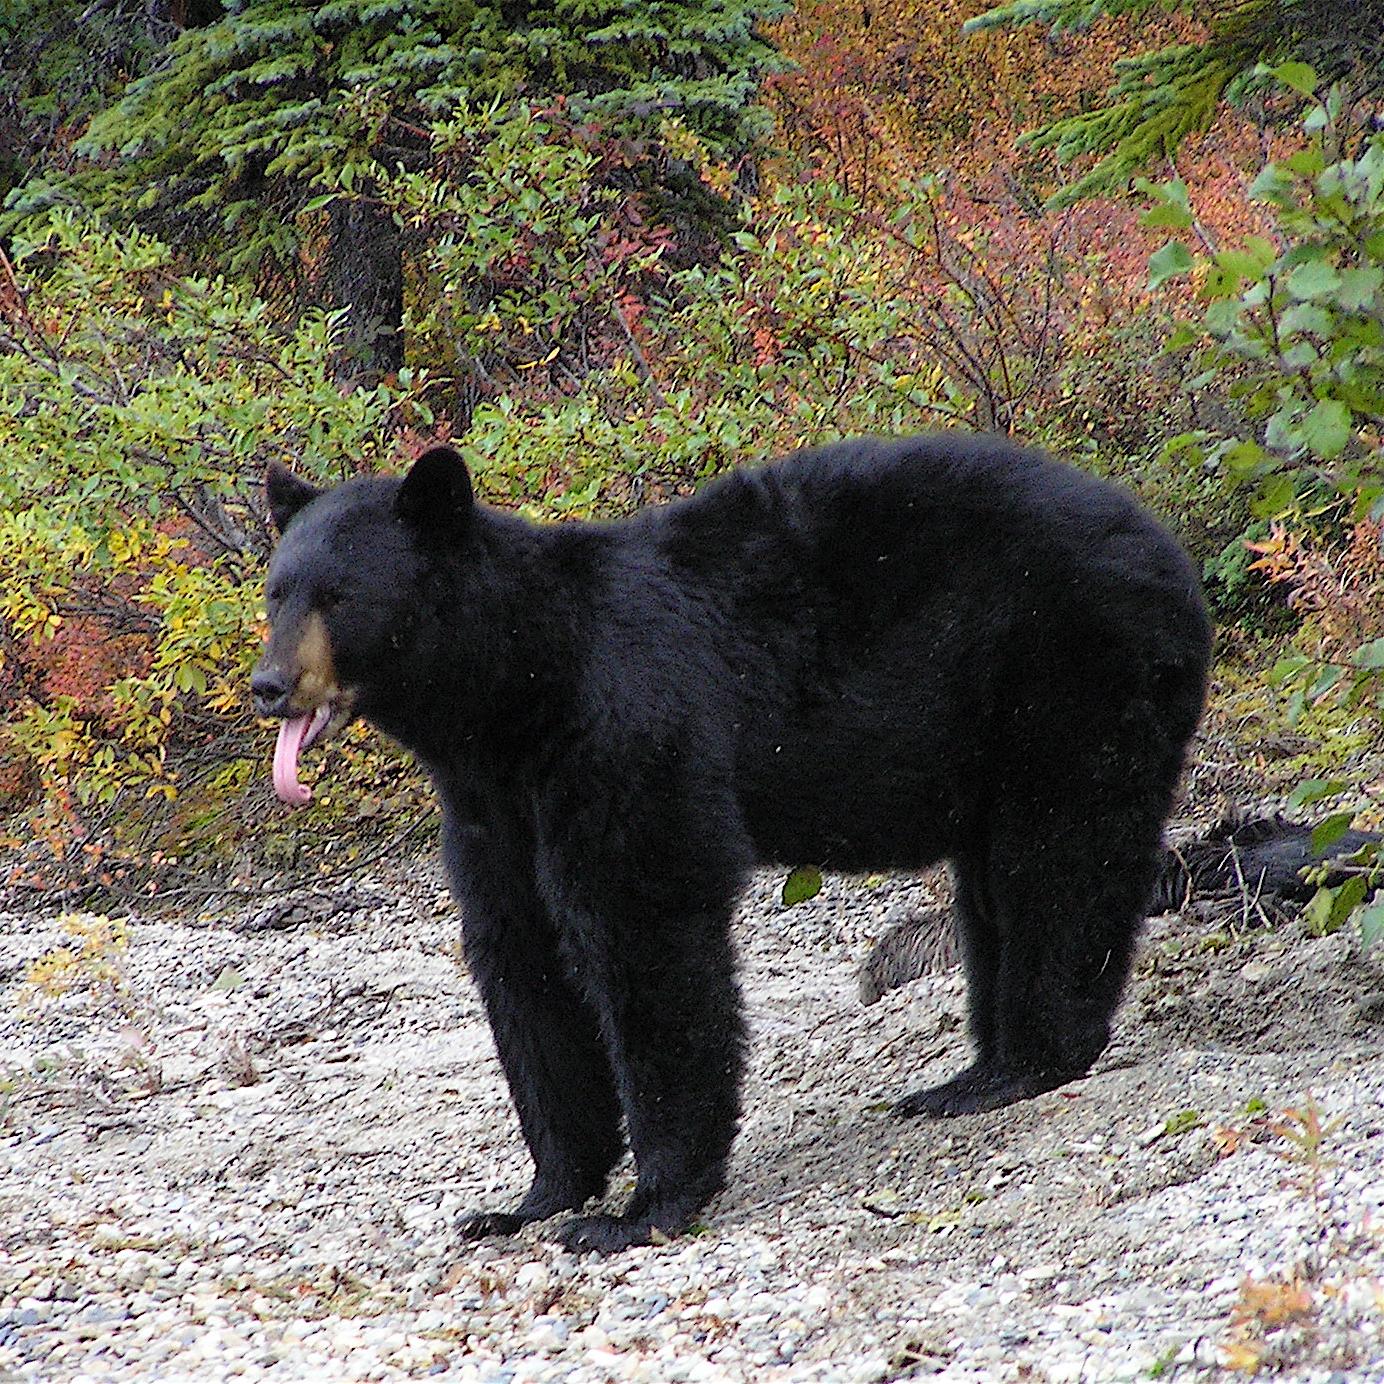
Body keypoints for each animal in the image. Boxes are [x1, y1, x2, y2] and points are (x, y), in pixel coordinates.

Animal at [251, 432, 1212, 1253]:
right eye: (277, 590)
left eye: (339, 595)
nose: (269, 684)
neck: (513, 694)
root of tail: (1167, 550)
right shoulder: (493, 806)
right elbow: (520, 960)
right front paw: (533, 1197)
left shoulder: (625, 734)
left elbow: (645, 932)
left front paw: (639, 1208)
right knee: (997, 888)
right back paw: (974, 1075)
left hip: (1068, 672)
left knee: (1060, 856)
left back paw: (1030, 1062)